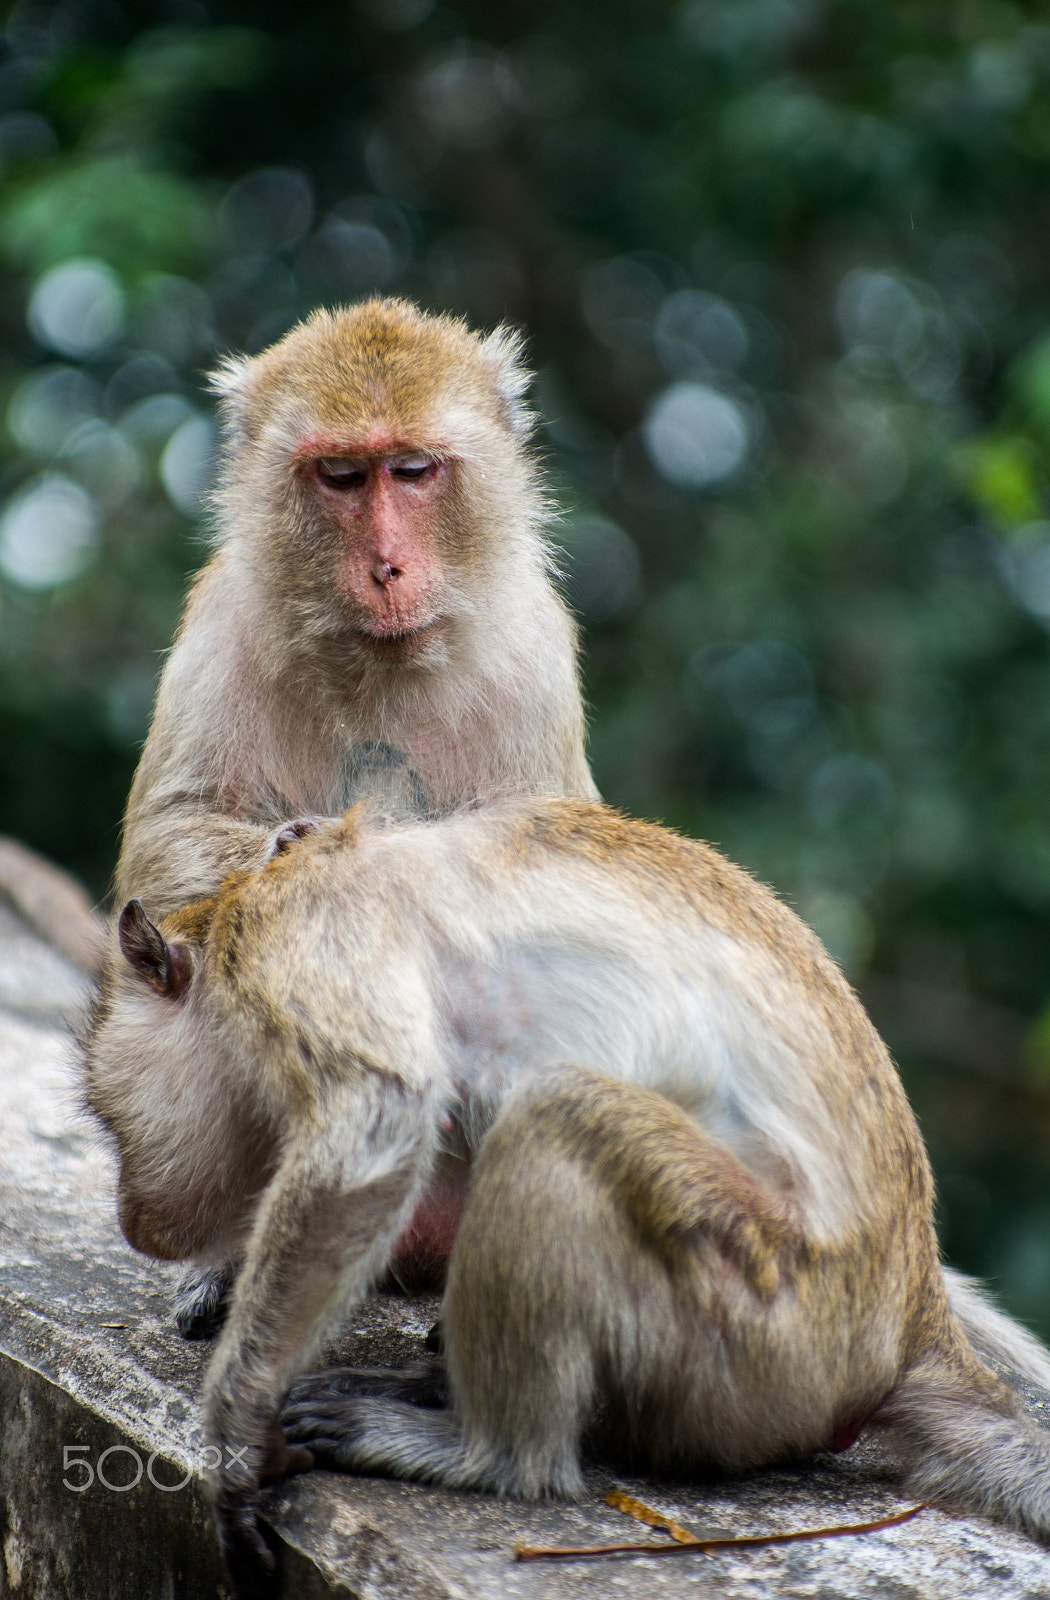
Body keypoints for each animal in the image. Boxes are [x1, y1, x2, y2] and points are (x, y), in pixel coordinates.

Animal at [80, 806, 1050, 1593]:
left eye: (107, 1120)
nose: (132, 1214)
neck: (242, 906)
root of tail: (909, 1319)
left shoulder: (292, 937)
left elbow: (377, 1120)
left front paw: (238, 1431)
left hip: (758, 1327)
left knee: (555, 1118)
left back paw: (490, 1455)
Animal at [112, 300, 598, 1337]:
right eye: (341, 475)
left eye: (412, 470)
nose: (387, 566)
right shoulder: (220, 620)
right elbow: (166, 837)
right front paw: (295, 847)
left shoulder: (536, 649)